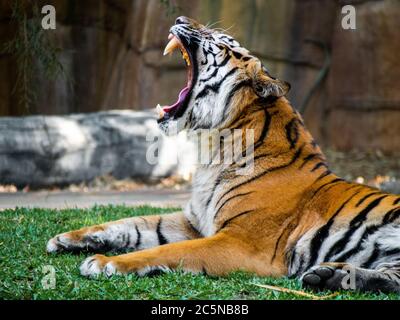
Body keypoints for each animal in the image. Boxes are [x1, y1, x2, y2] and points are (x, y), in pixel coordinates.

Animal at [47, 16, 400, 292]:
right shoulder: (193, 221)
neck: (212, 150)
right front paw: (67, 238)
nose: (179, 17)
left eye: (222, 41)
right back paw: (328, 275)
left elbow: (167, 252)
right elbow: (131, 222)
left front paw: (105, 262)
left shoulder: (240, 242)